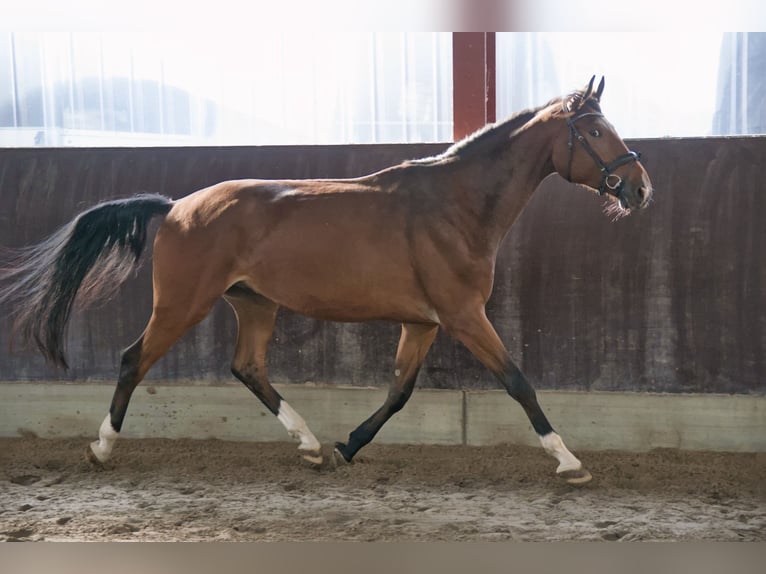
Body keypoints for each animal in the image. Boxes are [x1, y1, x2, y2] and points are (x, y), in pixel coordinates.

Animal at [0, 76, 652, 484]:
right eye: (596, 132)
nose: (639, 187)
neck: (455, 206)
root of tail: (177, 206)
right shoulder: (465, 316)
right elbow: (518, 382)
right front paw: (569, 461)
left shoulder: (423, 322)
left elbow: (399, 391)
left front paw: (348, 446)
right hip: (183, 304)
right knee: (134, 360)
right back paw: (101, 448)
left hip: (254, 304)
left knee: (249, 368)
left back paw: (312, 447)